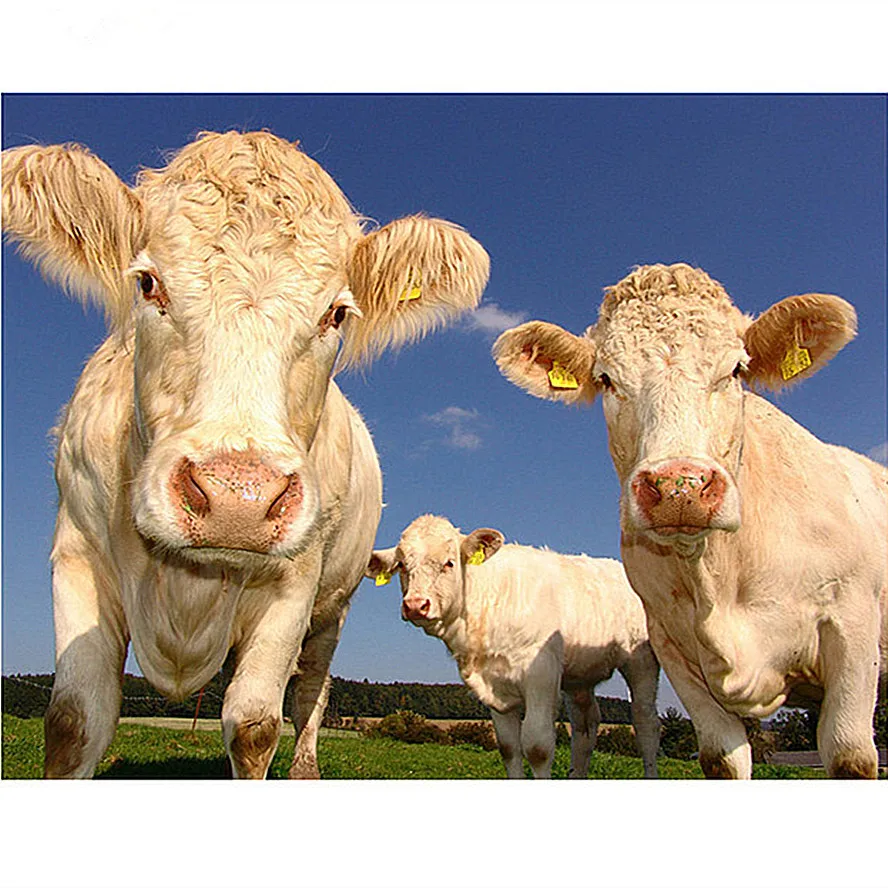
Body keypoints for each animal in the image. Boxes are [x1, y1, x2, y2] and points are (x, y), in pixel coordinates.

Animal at [2, 130, 489, 778]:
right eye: (147, 282)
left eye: (337, 313)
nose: (239, 498)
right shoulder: (77, 554)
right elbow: (74, 720)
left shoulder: (296, 584)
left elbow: (257, 724)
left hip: (333, 608)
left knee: (310, 692)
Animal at [367, 514, 660, 778]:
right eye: (402, 565)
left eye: (449, 563)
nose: (416, 605)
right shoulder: (496, 689)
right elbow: (509, 748)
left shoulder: (541, 674)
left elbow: (537, 747)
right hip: (579, 675)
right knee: (585, 727)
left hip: (642, 660)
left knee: (646, 723)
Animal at [493, 262, 887, 778]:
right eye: (606, 379)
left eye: (736, 369)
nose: (679, 487)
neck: (719, 574)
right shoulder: (674, 647)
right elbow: (721, 759)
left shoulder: (852, 627)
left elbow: (849, 755)